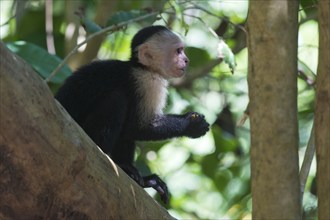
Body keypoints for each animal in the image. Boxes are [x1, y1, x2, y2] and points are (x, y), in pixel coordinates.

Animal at [54, 25, 209, 203]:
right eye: (178, 51)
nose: (186, 60)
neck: (141, 67)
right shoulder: (149, 82)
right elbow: (139, 126)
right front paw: (192, 125)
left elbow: (130, 130)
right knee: (117, 100)